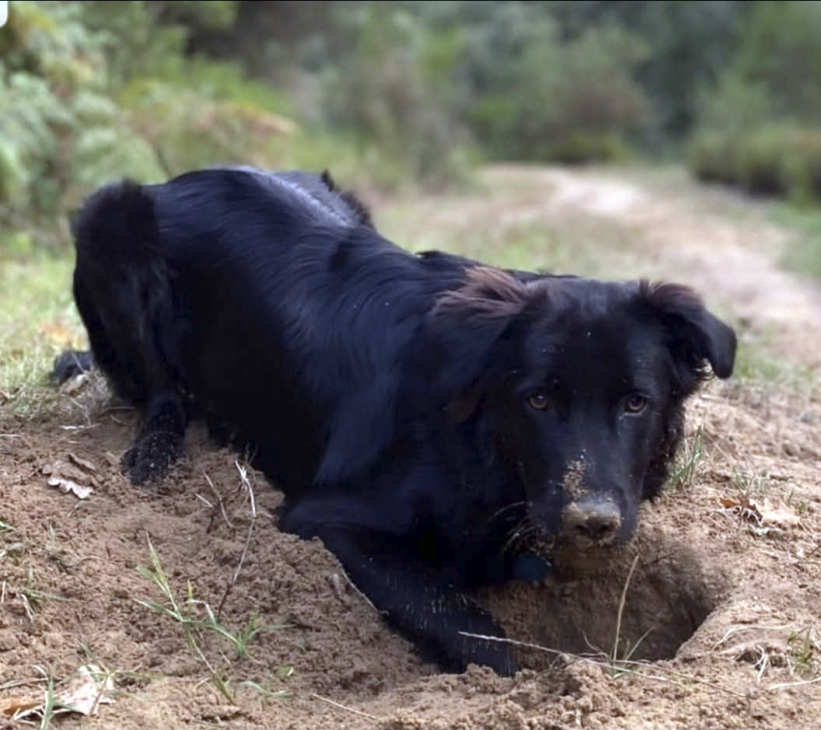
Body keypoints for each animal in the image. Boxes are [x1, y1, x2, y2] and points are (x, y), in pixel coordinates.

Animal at [53, 166, 737, 676]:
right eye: (539, 400)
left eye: (635, 402)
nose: (592, 523)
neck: (480, 448)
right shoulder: (325, 518)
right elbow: (474, 630)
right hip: (111, 221)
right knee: (160, 395)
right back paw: (159, 450)